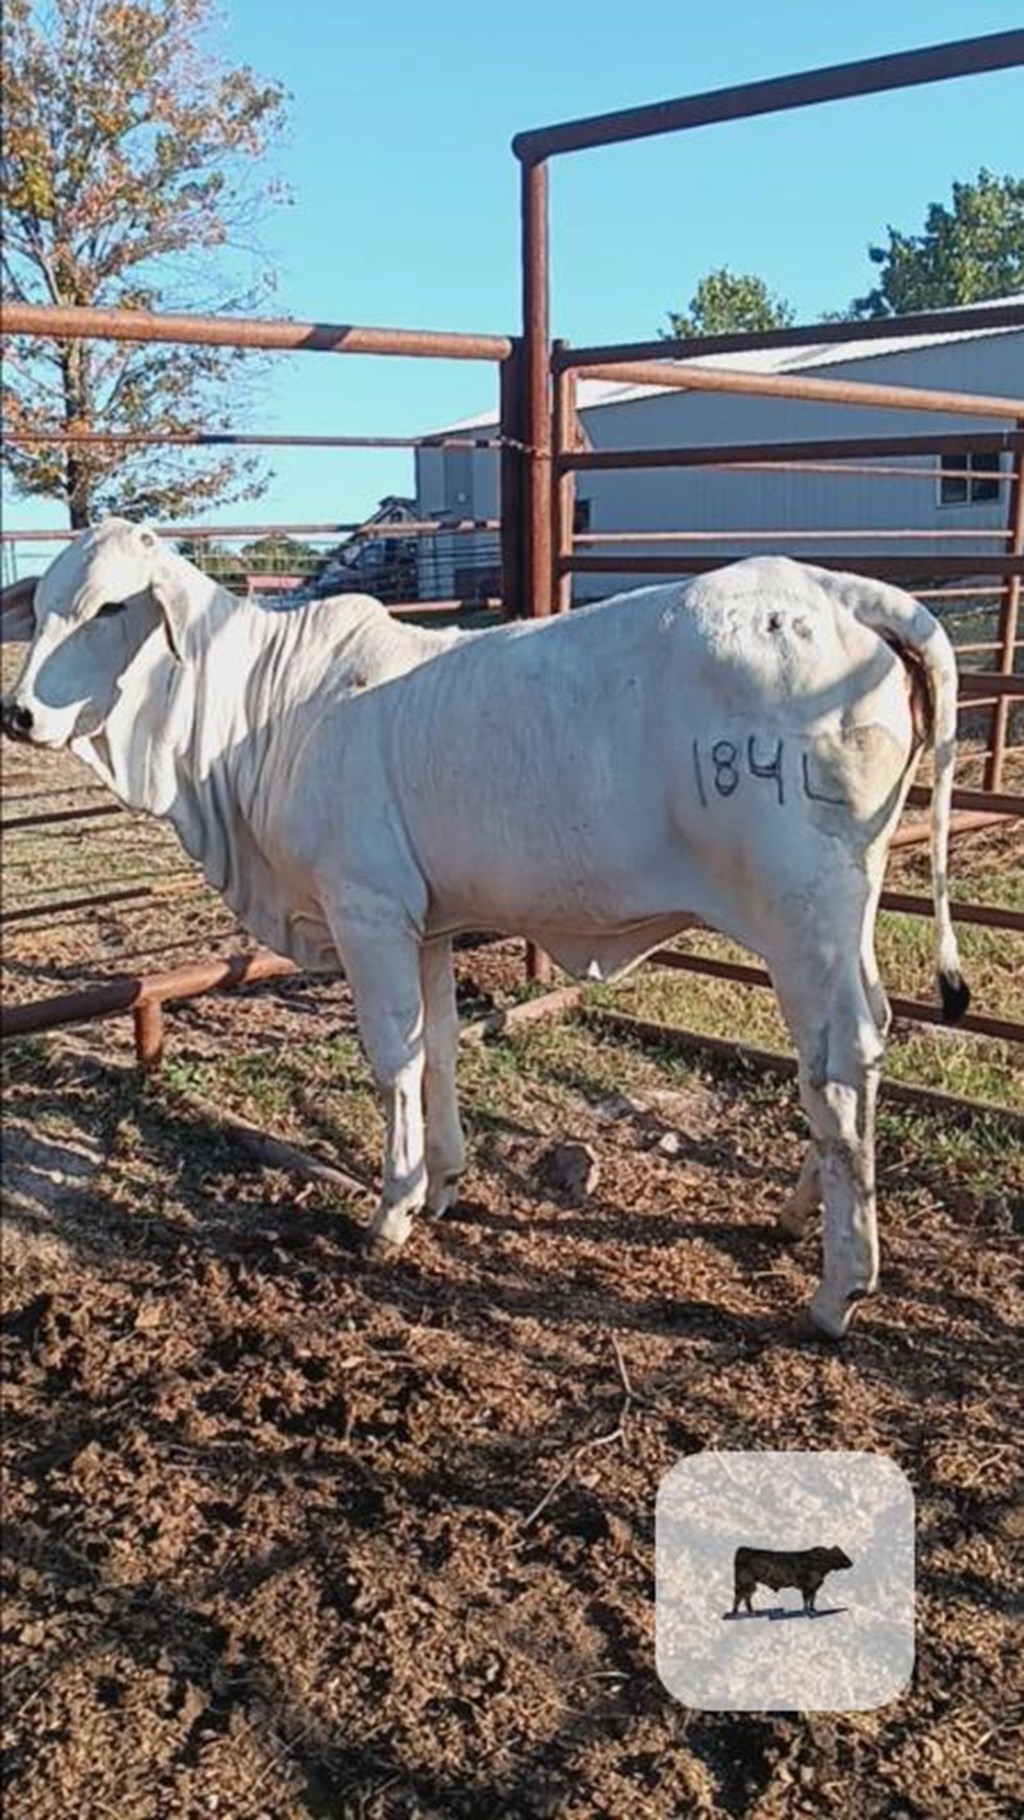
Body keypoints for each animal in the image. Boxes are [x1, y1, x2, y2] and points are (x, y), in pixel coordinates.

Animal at [0, 516, 974, 1339]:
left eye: (110, 608)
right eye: (42, 609)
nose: (18, 713)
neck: (253, 717)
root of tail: (834, 589)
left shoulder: (367, 910)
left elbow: (392, 1059)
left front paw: (391, 1211)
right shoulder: (426, 924)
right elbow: (438, 1048)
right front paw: (445, 1182)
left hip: (802, 912)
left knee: (836, 1062)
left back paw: (839, 1286)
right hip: (850, 908)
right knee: (872, 1035)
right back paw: (799, 1212)